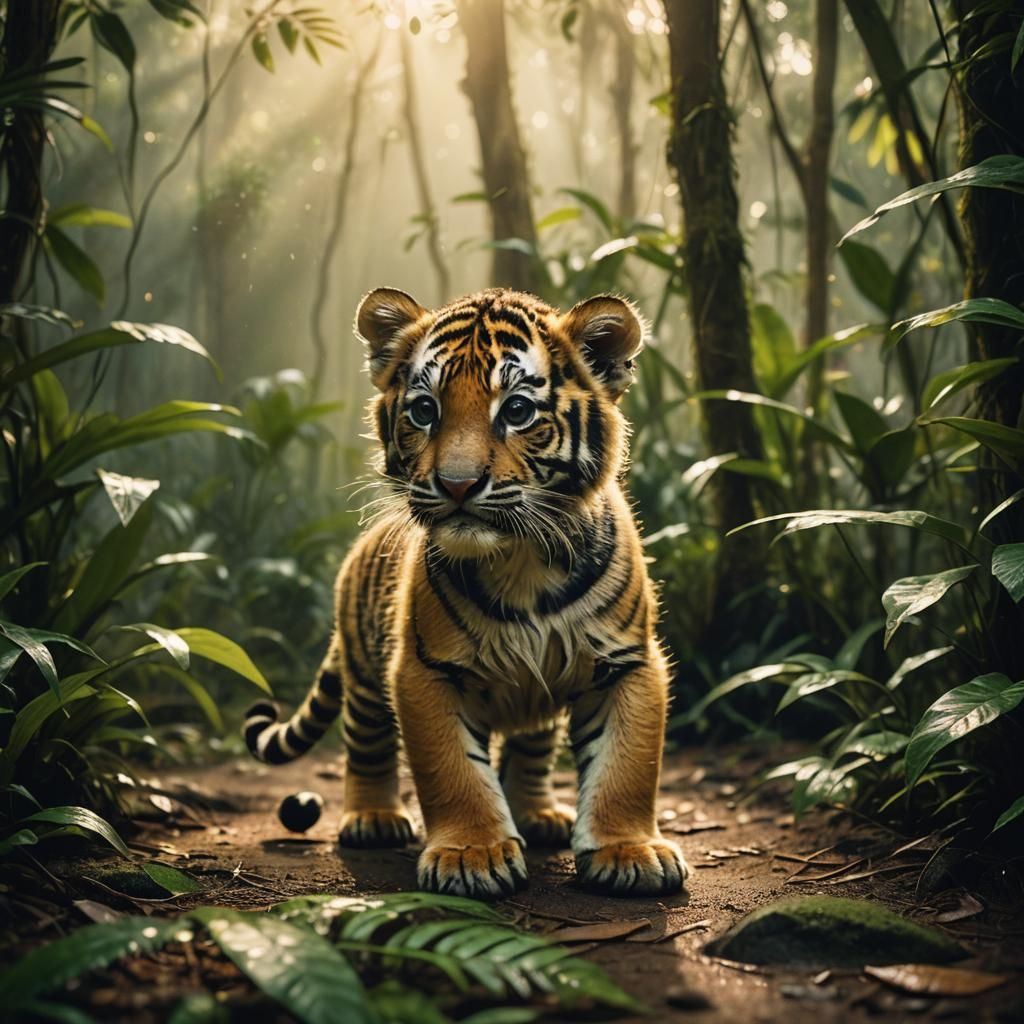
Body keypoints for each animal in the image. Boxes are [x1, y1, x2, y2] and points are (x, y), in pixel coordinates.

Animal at [244, 286, 688, 899]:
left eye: (517, 411)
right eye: (424, 410)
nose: (456, 485)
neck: (521, 559)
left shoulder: (627, 662)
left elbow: (628, 766)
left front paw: (629, 850)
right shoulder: (425, 670)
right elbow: (452, 770)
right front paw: (471, 855)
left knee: (531, 749)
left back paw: (539, 813)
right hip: (364, 674)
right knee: (366, 743)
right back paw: (373, 817)